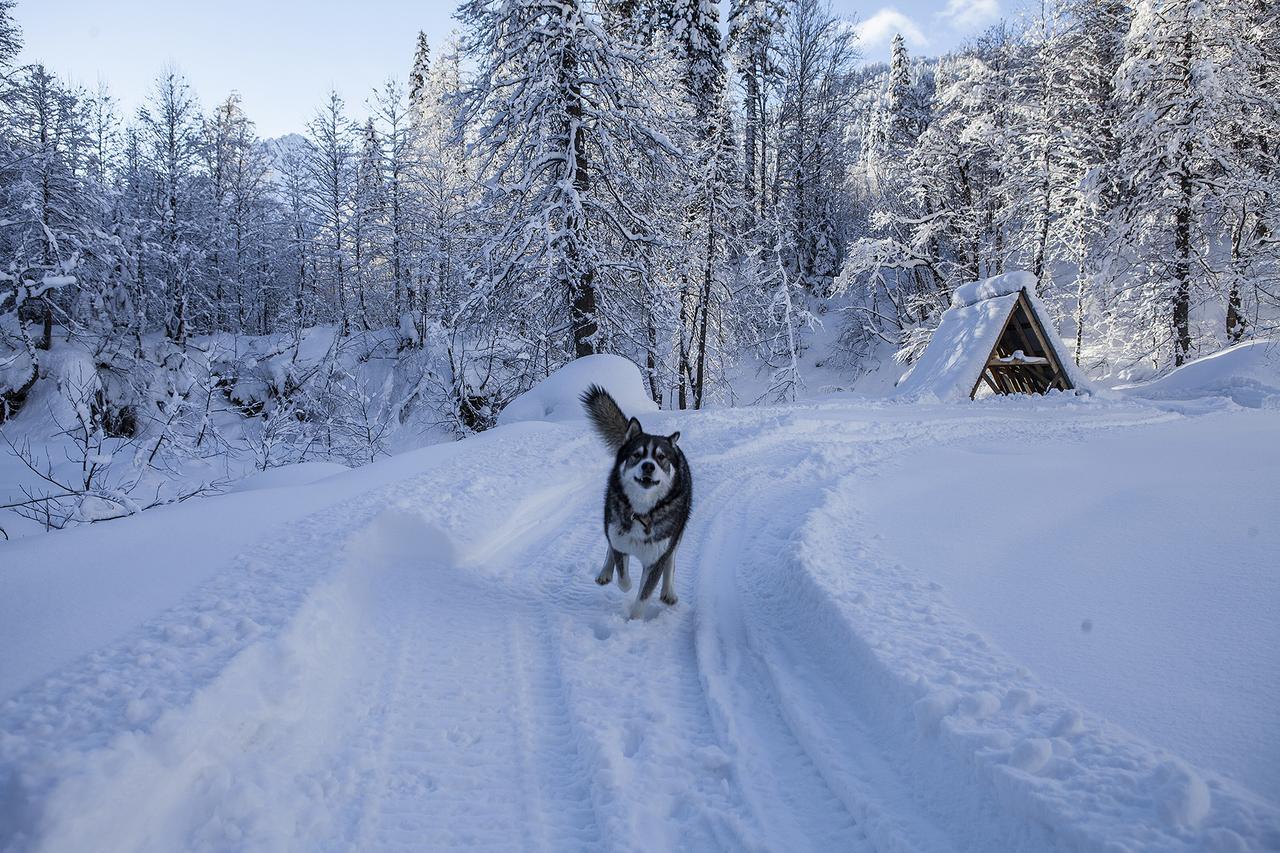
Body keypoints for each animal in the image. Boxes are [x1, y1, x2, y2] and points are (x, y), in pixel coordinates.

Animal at [586, 381, 696, 614]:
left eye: (661, 457)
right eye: (637, 454)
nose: (648, 466)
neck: (642, 510)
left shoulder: (656, 558)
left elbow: (643, 596)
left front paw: (634, 618)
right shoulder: (619, 539)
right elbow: (623, 576)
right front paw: (622, 582)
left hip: (677, 532)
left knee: (671, 560)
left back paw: (668, 592)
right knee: (610, 547)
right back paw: (605, 572)